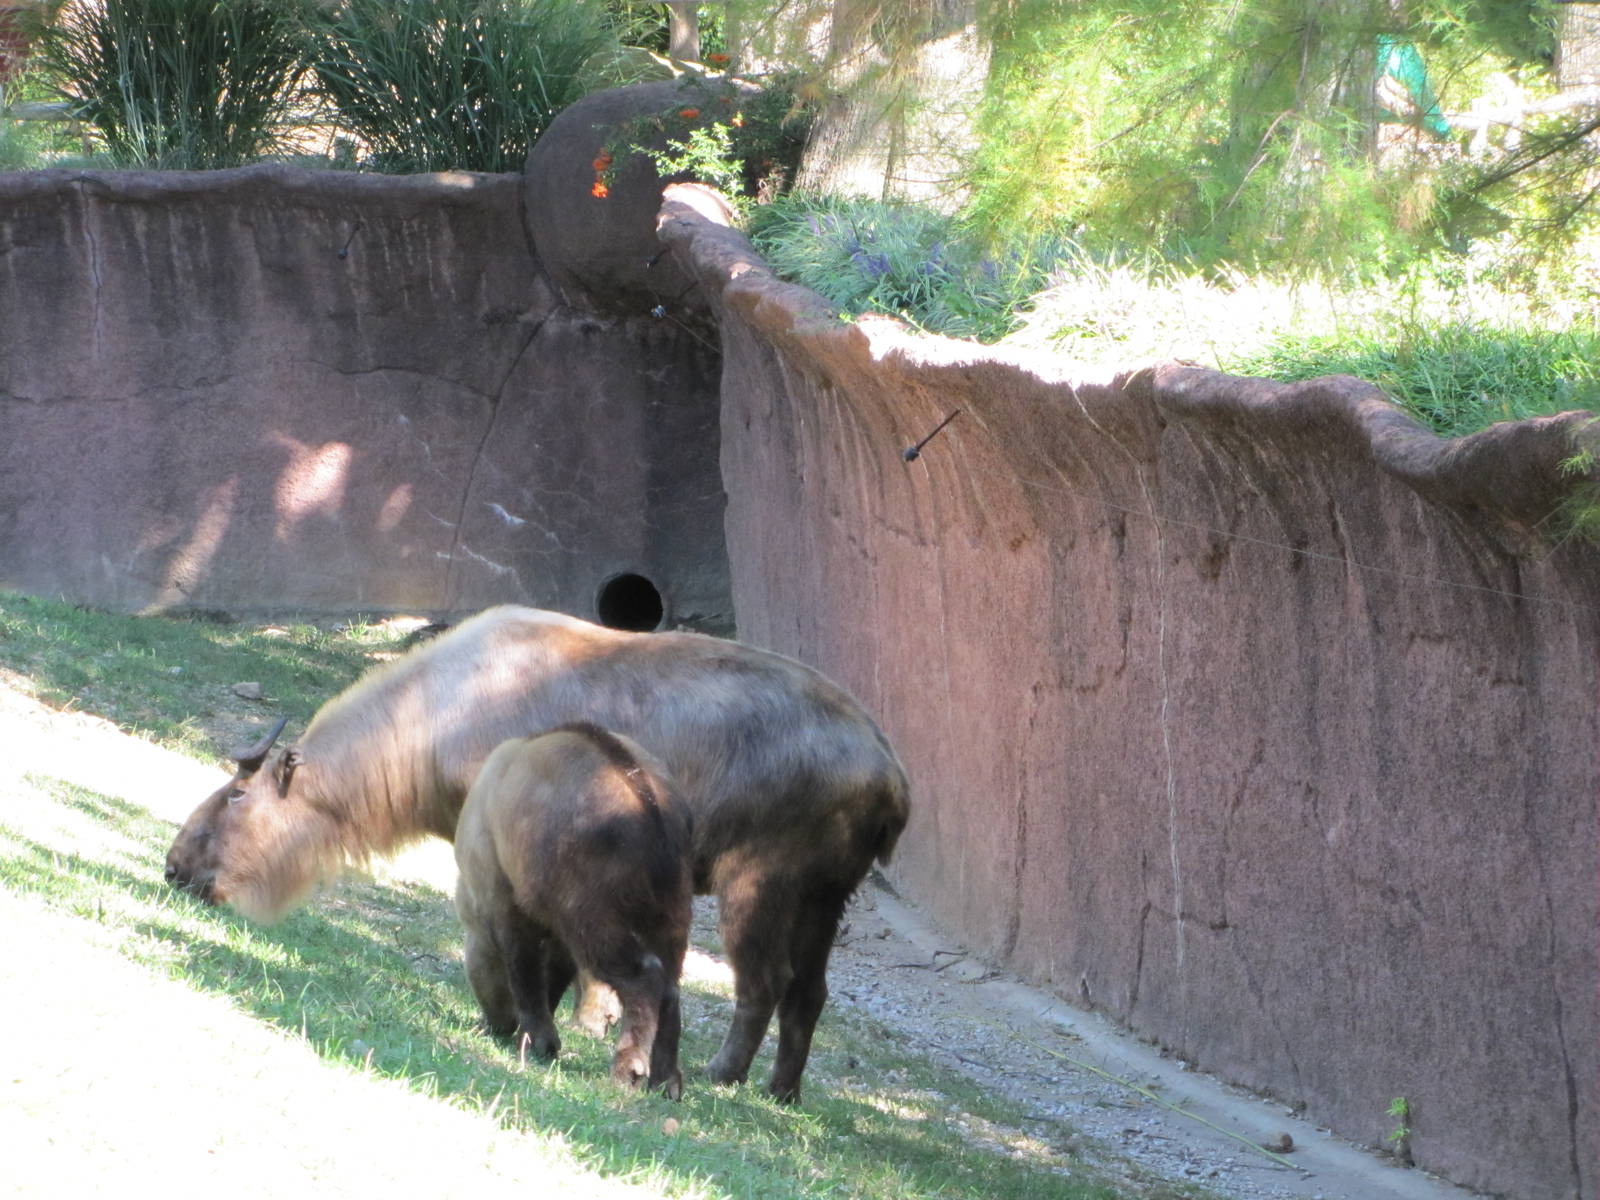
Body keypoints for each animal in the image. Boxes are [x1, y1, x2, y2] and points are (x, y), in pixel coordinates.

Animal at [165, 605, 910, 1102]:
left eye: (236, 793)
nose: (175, 867)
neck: (430, 717)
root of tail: (890, 778)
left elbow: (540, 958)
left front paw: (567, 1027)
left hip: (757, 885)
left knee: (761, 985)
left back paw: (721, 1073)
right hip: (824, 900)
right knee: (808, 994)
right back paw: (778, 1090)